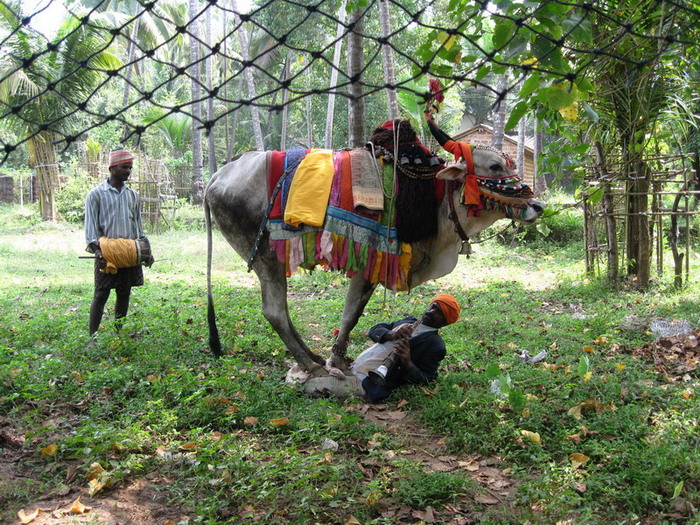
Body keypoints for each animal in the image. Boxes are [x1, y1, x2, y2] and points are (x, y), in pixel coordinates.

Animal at [205, 117, 544, 376]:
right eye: (496, 166)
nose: (537, 206)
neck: (433, 200)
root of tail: (218, 176)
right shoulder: (370, 259)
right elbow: (350, 314)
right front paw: (338, 361)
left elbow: (355, 311)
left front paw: (337, 358)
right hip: (267, 259)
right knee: (275, 311)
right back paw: (311, 366)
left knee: (282, 311)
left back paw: (312, 358)